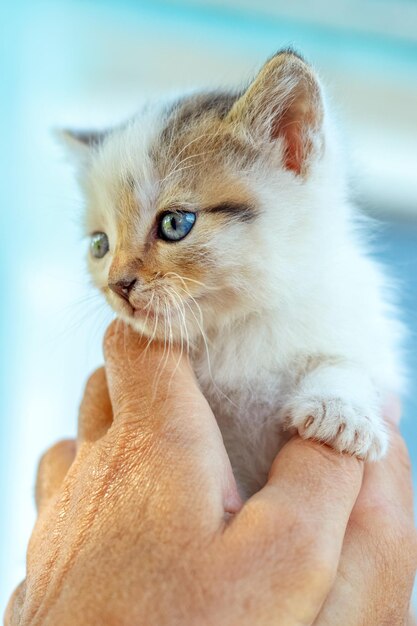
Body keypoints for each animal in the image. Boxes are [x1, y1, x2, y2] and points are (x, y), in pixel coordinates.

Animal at [64, 50, 404, 498]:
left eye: (175, 223)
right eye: (100, 245)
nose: (117, 285)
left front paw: (340, 412)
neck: (237, 331)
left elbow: (350, 362)